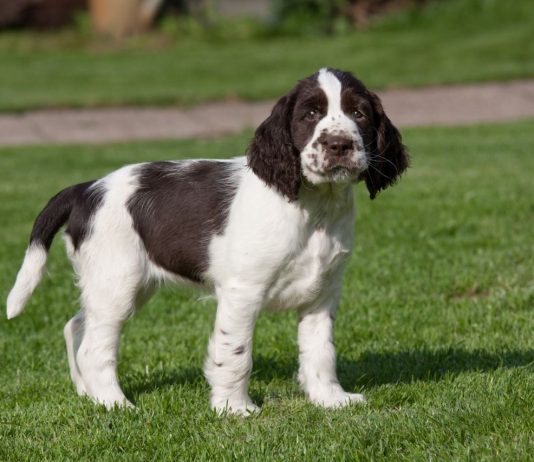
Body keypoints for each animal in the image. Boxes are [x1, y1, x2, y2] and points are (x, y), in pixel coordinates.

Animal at [5, 67, 410, 416]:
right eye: (310, 114)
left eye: (359, 113)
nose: (339, 145)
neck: (312, 207)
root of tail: (85, 189)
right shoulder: (243, 291)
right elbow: (235, 352)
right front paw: (234, 408)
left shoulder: (323, 292)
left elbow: (320, 350)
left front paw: (330, 399)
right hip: (117, 282)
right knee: (94, 347)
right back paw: (114, 404)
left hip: (122, 284)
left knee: (76, 325)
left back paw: (86, 393)